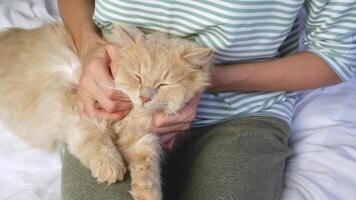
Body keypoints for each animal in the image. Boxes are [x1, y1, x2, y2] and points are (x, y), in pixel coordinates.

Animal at [0, 23, 211, 200]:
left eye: (163, 84)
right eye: (138, 77)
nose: (145, 97)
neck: (134, 117)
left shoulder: (144, 138)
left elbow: (148, 165)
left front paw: (147, 193)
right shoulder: (82, 110)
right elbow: (98, 141)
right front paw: (111, 167)